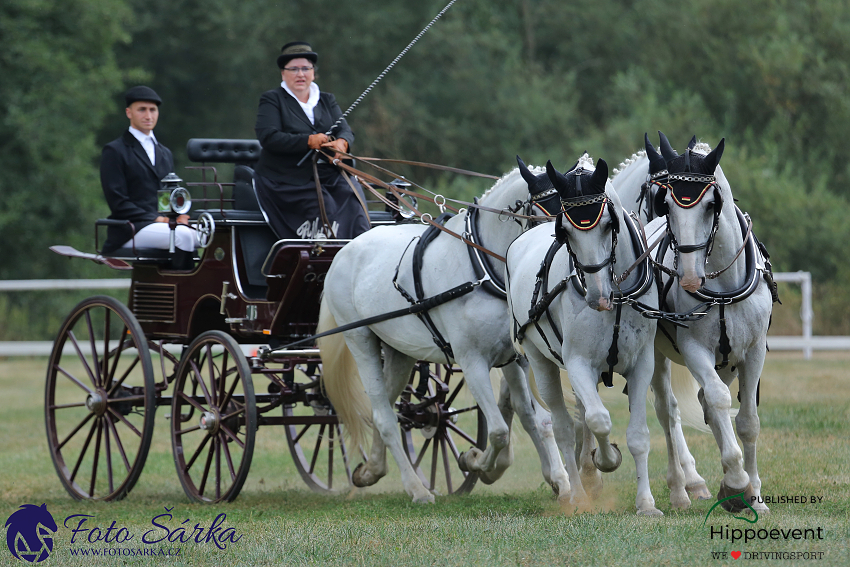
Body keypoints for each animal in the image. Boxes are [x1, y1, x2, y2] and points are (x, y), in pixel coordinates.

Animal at [316, 162, 568, 504]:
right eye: (542, 212)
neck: (483, 270)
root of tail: (344, 251)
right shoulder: (472, 362)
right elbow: (499, 431)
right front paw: (475, 461)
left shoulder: (514, 358)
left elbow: (536, 419)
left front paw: (560, 480)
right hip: (361, 341)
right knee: (383, 417)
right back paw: (417, 489)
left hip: (399, 353)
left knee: (387, 406)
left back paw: (371, 470)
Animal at [504, 155, 688, 516]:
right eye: (565, 232)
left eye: (607, 224)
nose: (598, 297)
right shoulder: (577, 364)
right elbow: (599, 420)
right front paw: (607, 460)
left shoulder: (642, 363)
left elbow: (638, 435)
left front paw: (646, 504)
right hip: (541, 361)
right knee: (563, 427)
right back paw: (576, 492)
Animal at [644, 134, 776, 516]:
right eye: (666, 206)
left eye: (710, 205)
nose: (689, 278)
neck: (721, 284)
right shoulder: (694, 350)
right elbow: (718, 402)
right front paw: (736, 481)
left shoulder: (753, 351)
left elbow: (747, 421)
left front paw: (754, 494)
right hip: (656, 355)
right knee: (668, 412)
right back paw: (680, 489)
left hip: (728, 361)